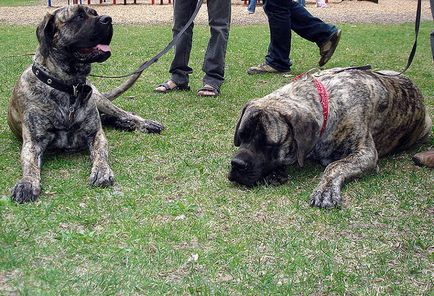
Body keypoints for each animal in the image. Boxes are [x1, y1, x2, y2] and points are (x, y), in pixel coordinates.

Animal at [7, 5, 164, 204]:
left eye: (95, 13)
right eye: (79, 16)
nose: (108, 19)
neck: (69, 87)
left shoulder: (95, 134)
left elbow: (100, 154)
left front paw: (102, 171)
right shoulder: (33, 142)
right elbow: (29, 164)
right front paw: (27, 183)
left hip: (99, 99)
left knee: (123, 113)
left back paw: (140, 123)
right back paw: (124, 124)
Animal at [229, 68, 432, 209]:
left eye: (269, 143)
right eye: (241, 136)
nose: (236, 164)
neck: (328, 102)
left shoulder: (366, 153)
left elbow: (335, 165)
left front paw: (325, 190)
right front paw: (276, 172)